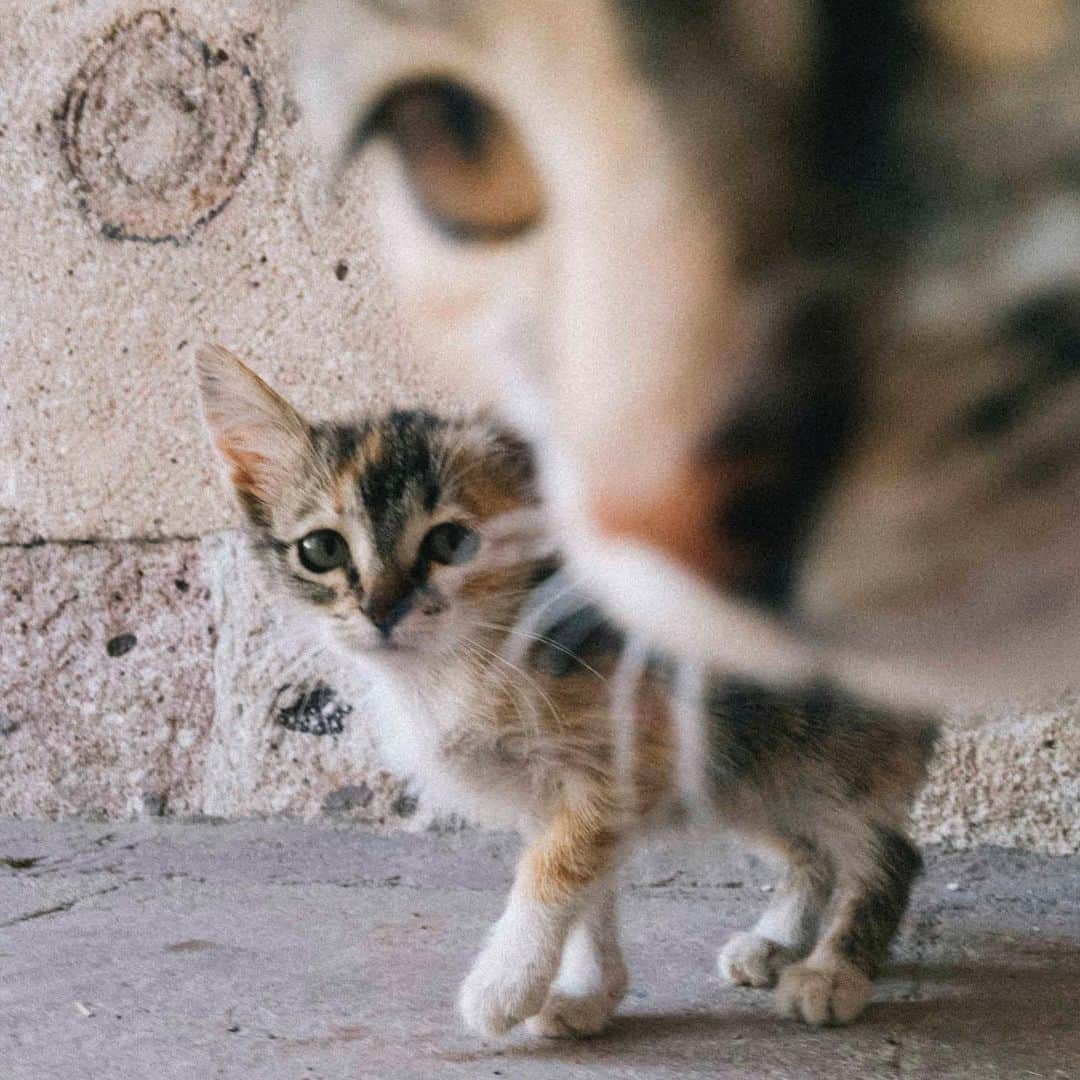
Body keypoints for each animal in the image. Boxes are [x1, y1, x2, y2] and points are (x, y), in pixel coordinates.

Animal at [196, 345, 937, 1036]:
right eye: (320, 549)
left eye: (451, 542)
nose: (381, 610)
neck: (462, 662)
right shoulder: (567, 788)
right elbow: (590, 883)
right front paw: (588, 992)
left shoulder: (633, 748)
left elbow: (557, 865)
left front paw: (505, 983)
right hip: (744, 766)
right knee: (815, 848)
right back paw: (779, 942)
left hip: (814, 752)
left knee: (888, 851)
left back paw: (833, 971)